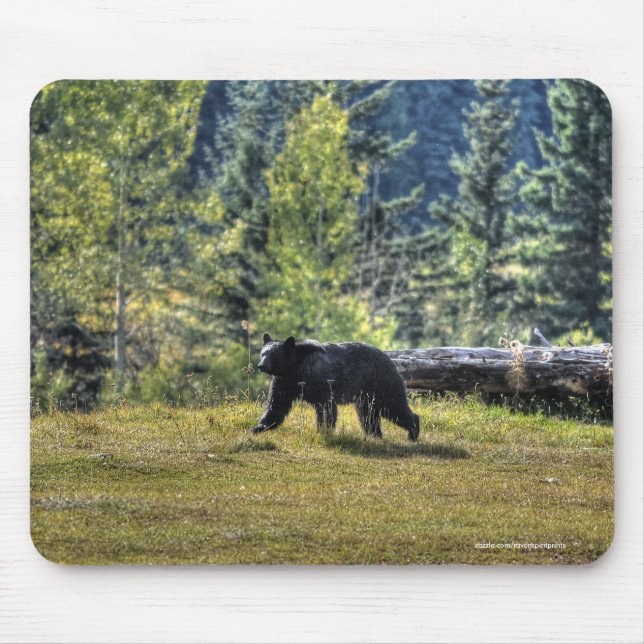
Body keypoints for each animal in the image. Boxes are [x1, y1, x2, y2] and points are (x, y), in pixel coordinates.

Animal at [251, 333, 420, 441]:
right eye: (262, 353)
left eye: (273, 355)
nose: (261, 366)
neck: (295, 369)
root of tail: (390, 360)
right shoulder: (285, 383)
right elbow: (276, 405)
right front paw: (259, 426)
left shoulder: (321, 381)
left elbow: (326, 407)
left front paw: (324, 430)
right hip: (366, 395)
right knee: (368, 415)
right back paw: (375, 435)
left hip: (381, 384)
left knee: (394, 407)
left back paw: (413, 431)